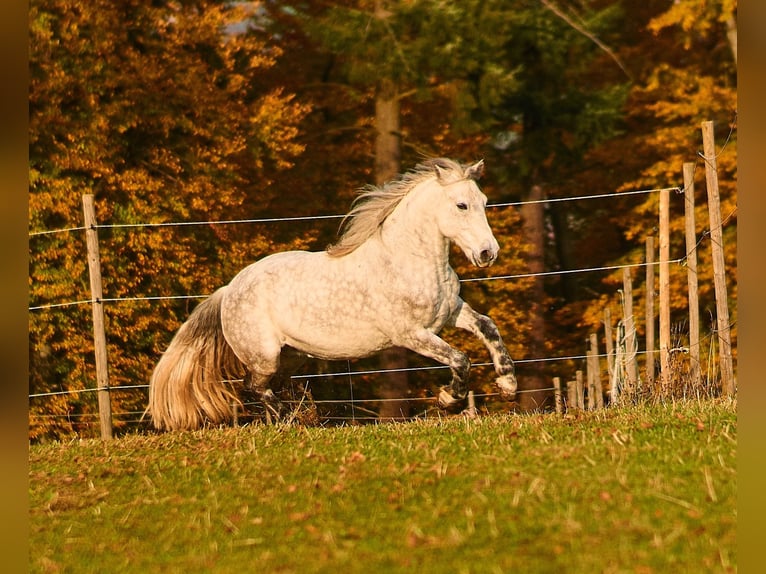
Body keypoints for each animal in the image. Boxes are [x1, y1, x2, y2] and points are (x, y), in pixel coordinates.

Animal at [147, 159, 520, 432]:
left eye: (484, 203)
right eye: (461, 205)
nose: (488, 253)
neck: (408, 259)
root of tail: (229, 290)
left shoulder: (451, 312)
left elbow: (488, 327)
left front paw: (508, 384)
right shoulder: (410, 333)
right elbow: (460, 359)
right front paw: (448, 399)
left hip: (290, 356)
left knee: (269, 386)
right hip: (264, 355)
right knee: (253, 386)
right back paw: (292, 422)